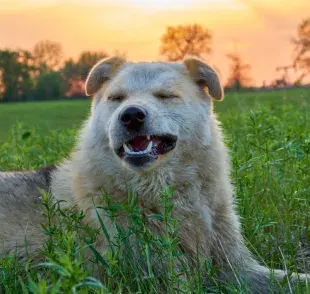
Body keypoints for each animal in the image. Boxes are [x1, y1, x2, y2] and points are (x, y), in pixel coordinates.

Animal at [0, 56, 308, 292]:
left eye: (166, 96)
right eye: (117, 98)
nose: (131, 115)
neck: (159, 194)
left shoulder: (235, 267)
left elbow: (292, 280)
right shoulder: (161, 276)